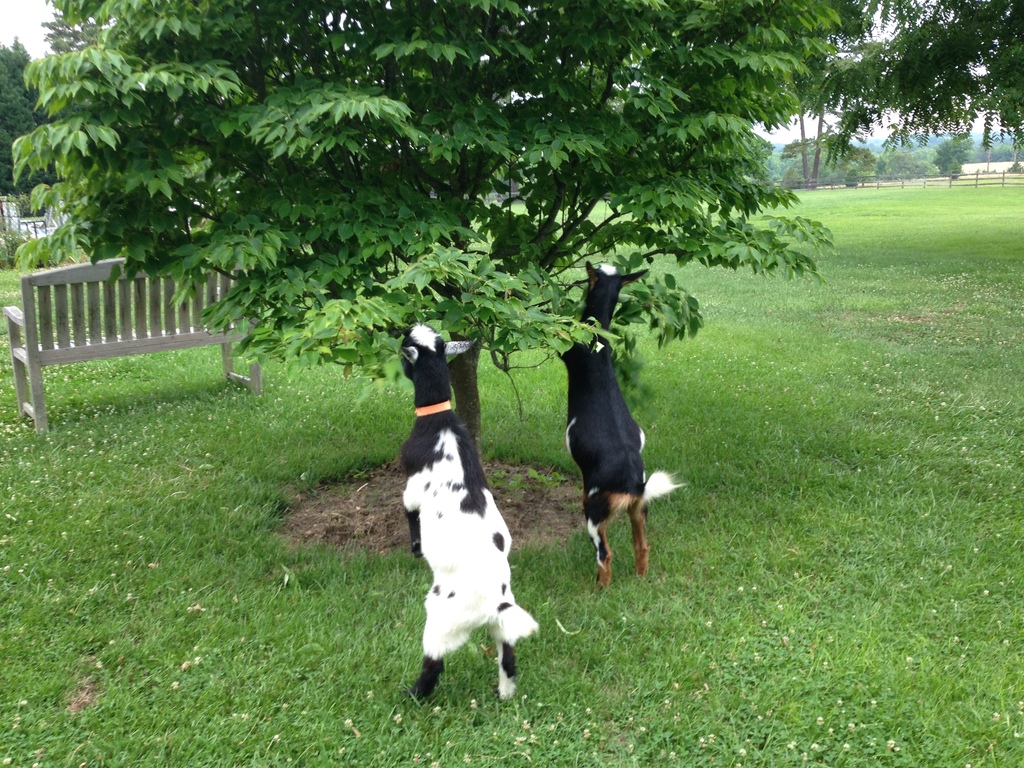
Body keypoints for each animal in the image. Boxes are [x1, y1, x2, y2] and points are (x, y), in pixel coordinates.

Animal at [399, 324, 539, 699]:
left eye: (404, 345)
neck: (439, 419)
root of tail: (494, 605)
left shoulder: (413, 484)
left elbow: (409, 511)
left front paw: (415, 547)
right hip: (502, 627)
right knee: (508, 658)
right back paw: (504, 694)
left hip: (441, 619)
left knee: (434, 662)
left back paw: (412, 695)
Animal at [561, 263, 679, 587]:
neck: (598, 340)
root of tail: (633, 485)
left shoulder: (569, 350)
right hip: (640, 510)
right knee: (642, 545)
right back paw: (640, 581)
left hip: (594, 513)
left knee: (605, 555)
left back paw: (600, 589)